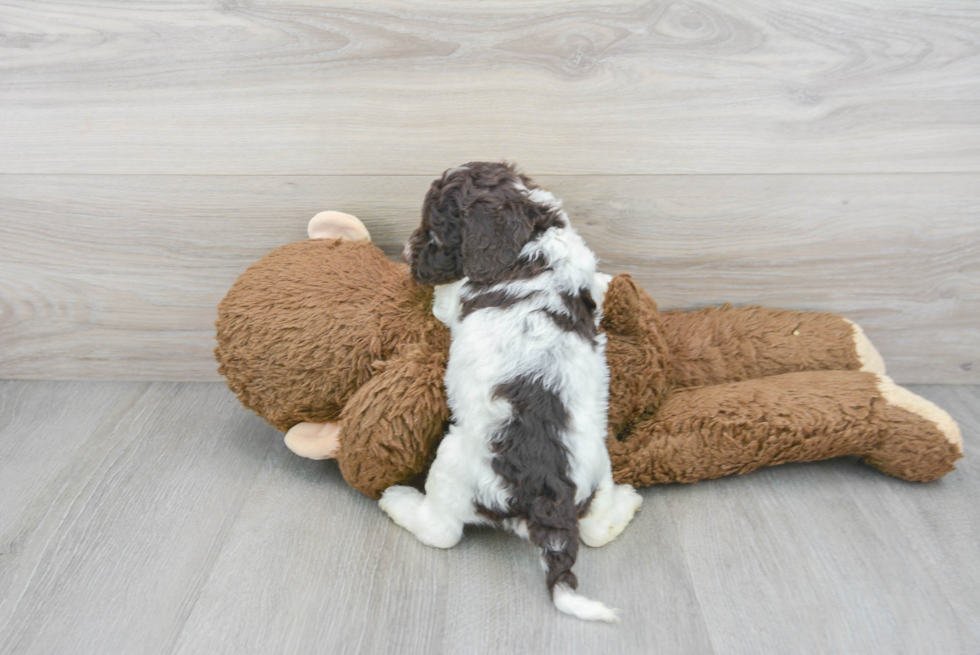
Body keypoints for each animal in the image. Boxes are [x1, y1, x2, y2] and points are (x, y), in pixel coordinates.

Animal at [378, 161, 644, 624]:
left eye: (435, 233)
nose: (408, 256)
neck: (532, 240)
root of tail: (547, 494)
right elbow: (597, 283)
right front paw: (609, 283)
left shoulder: (453, 298)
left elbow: (442, 301)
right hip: (599, 465)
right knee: (596, 528)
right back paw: (626, 502)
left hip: (452, 461)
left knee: (443, 531)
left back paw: (399, 501)